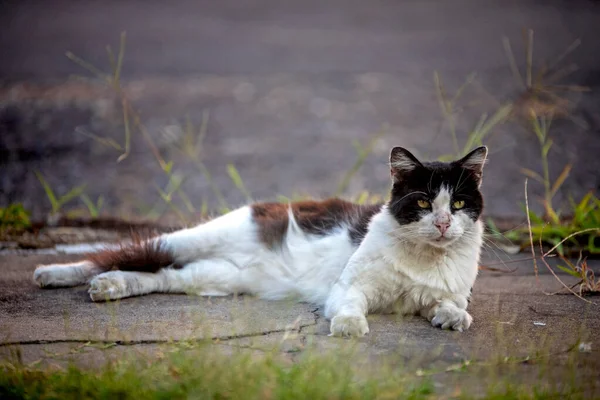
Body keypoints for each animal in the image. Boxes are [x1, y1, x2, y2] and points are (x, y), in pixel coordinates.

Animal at [32, 145, 488, 336]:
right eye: (424, 202)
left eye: (459, 203)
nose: (443, 224)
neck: (426, 258)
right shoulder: (350, 286)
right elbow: (350, 306)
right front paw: (348, 326)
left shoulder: (449, 292)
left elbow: (452, 306)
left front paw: (453, 319)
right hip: (194, 240)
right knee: (116, 254)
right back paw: (55, 273)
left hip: (214, 277)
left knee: (160, 276)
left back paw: (111, 286)